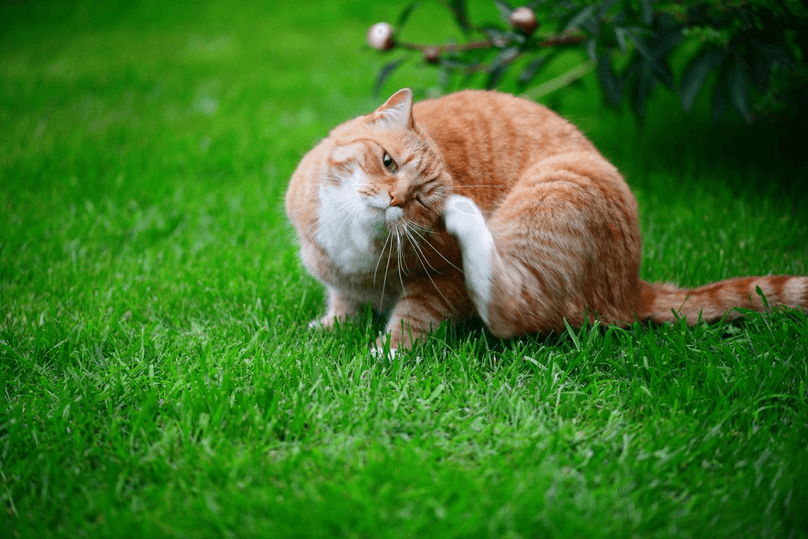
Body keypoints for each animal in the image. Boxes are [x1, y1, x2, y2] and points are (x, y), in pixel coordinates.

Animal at [286, 88, 808, 352]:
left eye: (420, 203)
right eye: (387, 162)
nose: (395, 200)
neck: (351, 243)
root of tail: (632, 287)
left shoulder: (442, 286)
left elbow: (412, 322)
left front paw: (382, 355)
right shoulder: (336, 276)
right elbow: (343, 302)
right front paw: (332, 326)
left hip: (557, 190)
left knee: (511, 310)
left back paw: (468, 216)